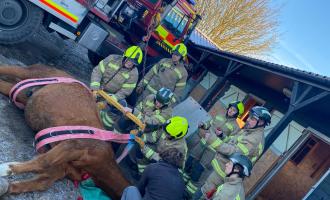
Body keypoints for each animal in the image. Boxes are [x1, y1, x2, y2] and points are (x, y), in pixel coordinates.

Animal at [0, 65, 130, 199]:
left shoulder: (64, 165)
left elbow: (43, 178)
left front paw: (8, 183)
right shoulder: (72, 146)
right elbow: (44, 163)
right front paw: (6, 170)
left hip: (22, 91)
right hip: (30, 74)